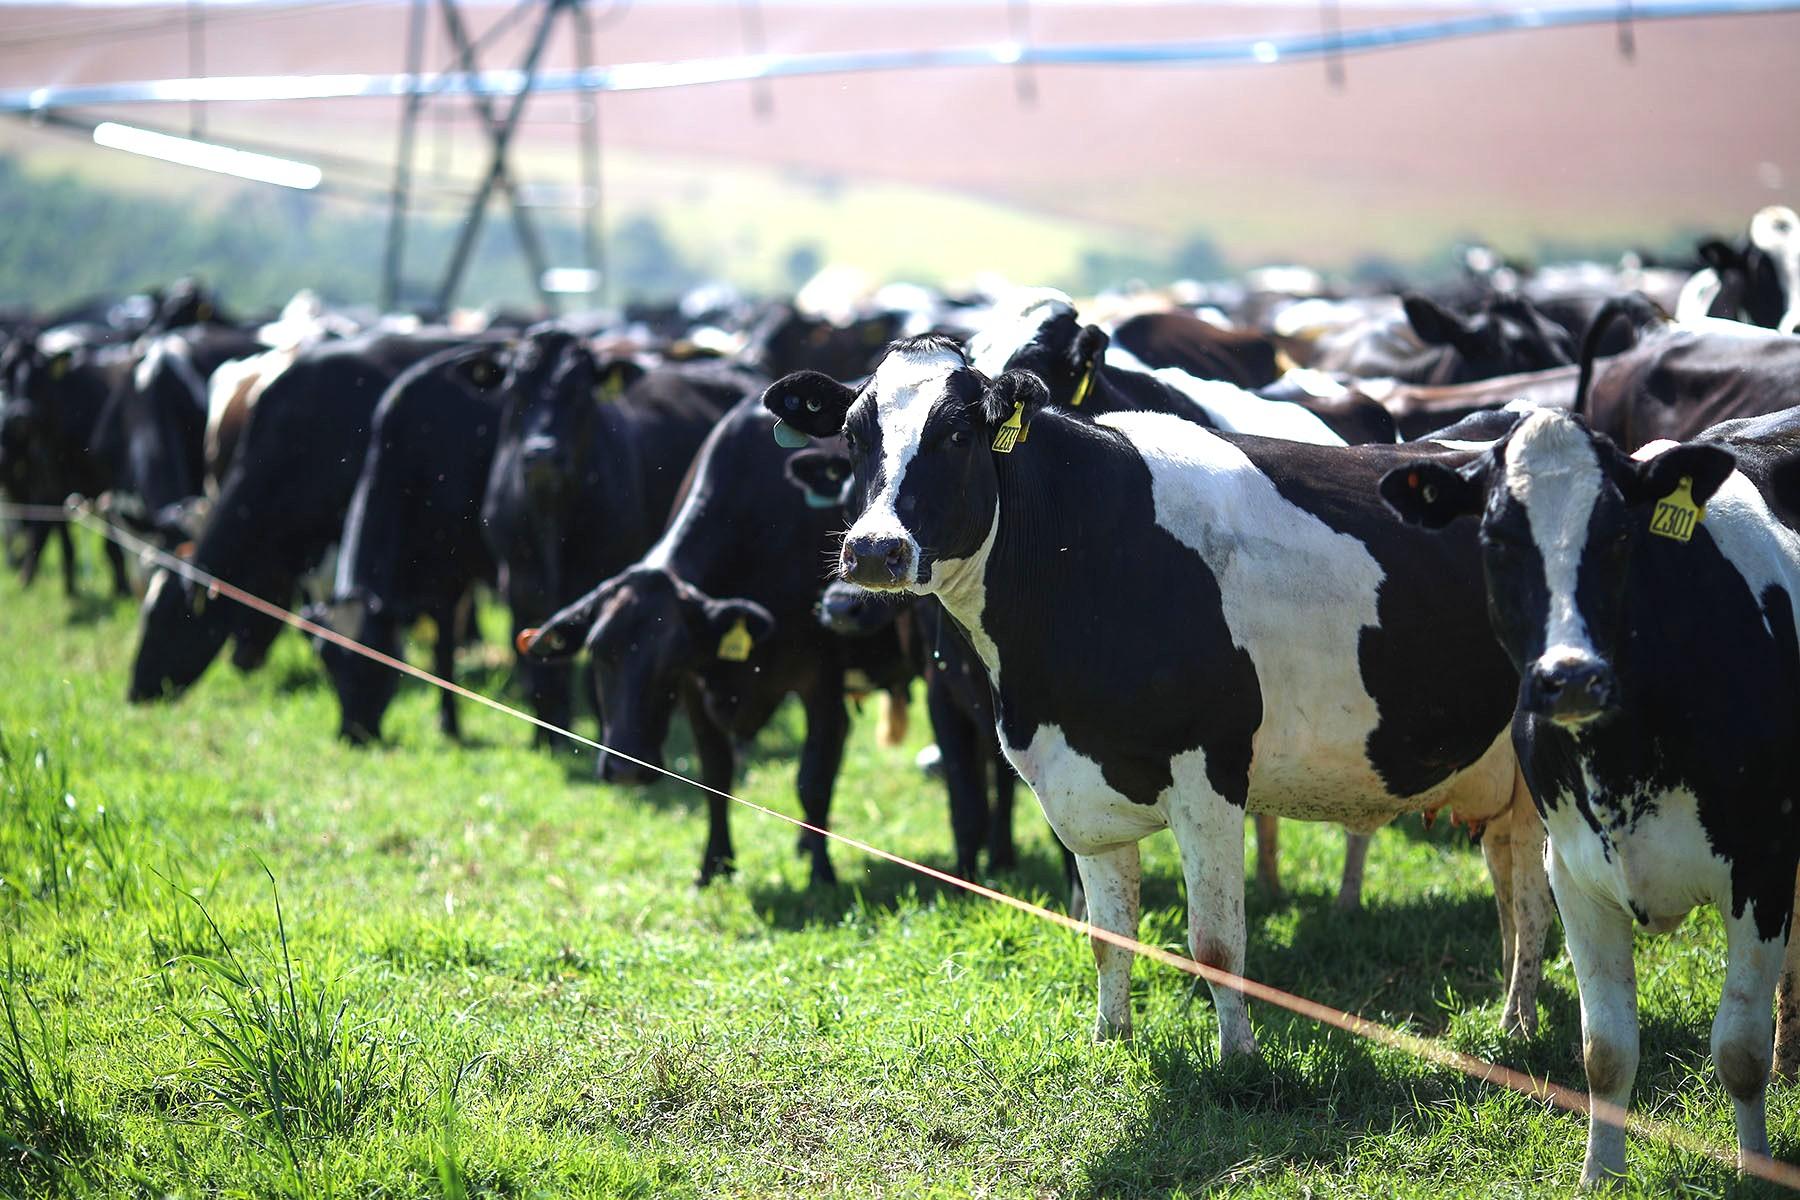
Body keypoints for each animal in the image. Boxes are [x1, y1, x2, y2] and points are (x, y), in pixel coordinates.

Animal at [310, 345, 505, 744]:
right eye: (328, 663)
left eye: (373, 664)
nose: (352, 734)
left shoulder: (450, 580)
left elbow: (443, 651)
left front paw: (449, 724)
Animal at [475, 327, 747, 743]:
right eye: (515, 388)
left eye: (581, 391)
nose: (542, 453)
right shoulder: (519, 584)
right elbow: (539, 674)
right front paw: (546, 740)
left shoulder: (602, 577)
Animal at [761, 334, 1554, 1049]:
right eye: (854, 435)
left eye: (957, 433)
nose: (873, 550)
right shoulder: (1074, 785)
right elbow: (1108, 935)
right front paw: (1110, 1038)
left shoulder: (1211, 773)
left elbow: (1217, 945)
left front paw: (1238, 1059)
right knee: (1513, 885)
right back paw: (1514, 1018)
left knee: (1535, 898)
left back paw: (1517, 1027)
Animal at [1381, 406, 1800, 1187]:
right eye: (1497, 538)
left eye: (1618, 535)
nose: (1570, 677)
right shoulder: (1572, 871)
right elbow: (1604, 1050)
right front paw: (1599, 1174)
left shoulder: (1761, 861)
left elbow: (1738, 1048)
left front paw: (1757, 1170)